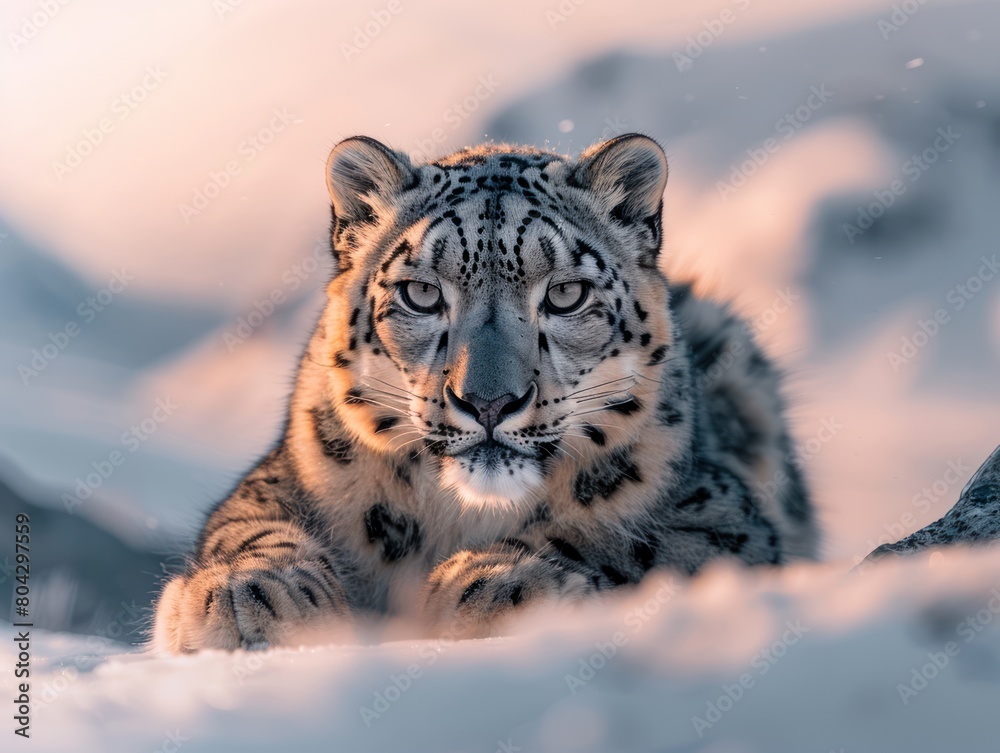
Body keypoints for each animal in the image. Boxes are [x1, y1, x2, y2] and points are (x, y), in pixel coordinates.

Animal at [151, 133, 818, 653]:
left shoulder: (718, 512)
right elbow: (250, 526)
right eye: (422, 293)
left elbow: (622, 535)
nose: (490, 403)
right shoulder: (284, 475)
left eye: (566, 294)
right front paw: (246, 594)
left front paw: (500, 581)